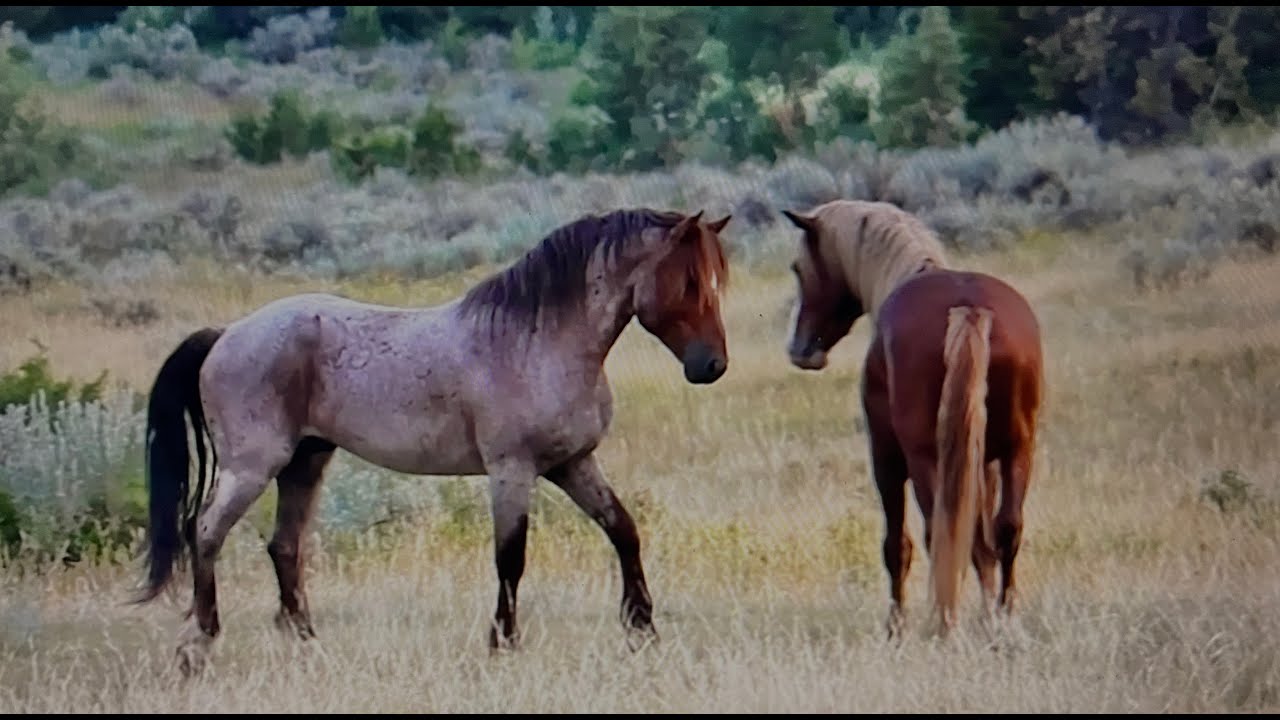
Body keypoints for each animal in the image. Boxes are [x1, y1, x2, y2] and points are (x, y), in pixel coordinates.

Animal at [133, 207, 733, 675]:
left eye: (715, 283)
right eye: (689, 282)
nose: (712, 367)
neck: (538, 341)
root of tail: (227, 334)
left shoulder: (573, 464)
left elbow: (623, 531)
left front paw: (642, 629)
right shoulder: (511, 470)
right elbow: (510, 557)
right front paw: (502, 643)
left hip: (305, 462)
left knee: (283, 546)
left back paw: (307, 646)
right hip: (253, 466)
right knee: (205, 532)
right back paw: (197, 646)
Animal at [780, 199, 1043, 638]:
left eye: (799, 269)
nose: (800, 349)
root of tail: (969, 309)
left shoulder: (886, 460)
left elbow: (896, 546)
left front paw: (895, 628)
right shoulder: (983, 465)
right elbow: (983, 543)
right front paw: (986, 614)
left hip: (924, 460)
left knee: (940, 533)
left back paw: (944, 623)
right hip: (1017, 450)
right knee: (1006, 529)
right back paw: (1001, 619)